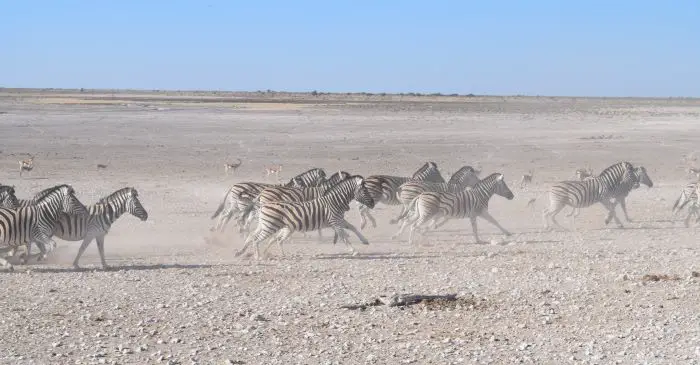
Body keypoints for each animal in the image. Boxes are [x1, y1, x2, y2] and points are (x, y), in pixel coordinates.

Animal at [234, 176, 378, 258]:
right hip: (270, 226)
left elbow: (353, 227)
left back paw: (245, 252)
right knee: (256, 239)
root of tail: (263, 203)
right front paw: (353, 251)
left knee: (252, 235)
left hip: (265, 224)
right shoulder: (335, 221)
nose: (372, 203)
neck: (335, 201)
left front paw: (364, 240)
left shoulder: (339, 220)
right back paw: (258, 257)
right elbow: (344, 237)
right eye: (365, 190)